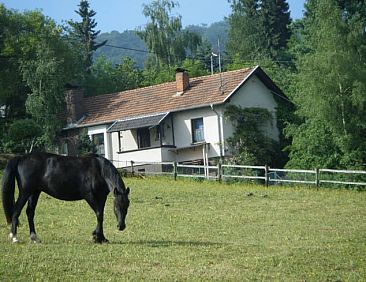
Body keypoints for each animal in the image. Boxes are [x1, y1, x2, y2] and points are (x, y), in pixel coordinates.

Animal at [1, 152, 130, 242]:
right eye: (116, 206)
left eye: (127, 206)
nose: (121, 226)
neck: (99, 170)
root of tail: (21, 157)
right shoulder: (90, 196)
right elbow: (99, 214)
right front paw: (96, 237)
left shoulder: (101, 198)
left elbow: (100, 216)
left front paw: (101, 237)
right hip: (25, 192)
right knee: (16, 211)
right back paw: (14, 237)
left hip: (34, 192)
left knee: (30, 212)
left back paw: (34, 237)